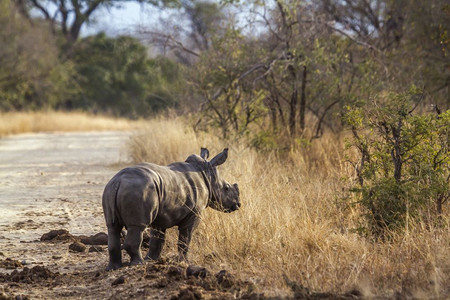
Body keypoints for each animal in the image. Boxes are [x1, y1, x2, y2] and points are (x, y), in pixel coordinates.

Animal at [102, 147, 241, 270]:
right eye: (227, 188)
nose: (238, 204)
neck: (206, 174)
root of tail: (118, 182)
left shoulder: (160, 216)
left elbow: (158, 240)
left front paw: (152, 260)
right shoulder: (194, 213)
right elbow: (185, 237)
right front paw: (184, 261)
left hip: (110, 190)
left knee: (112, 227)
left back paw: (113, 268)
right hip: (138, 190)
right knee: (137, 227)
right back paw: (138, 264)